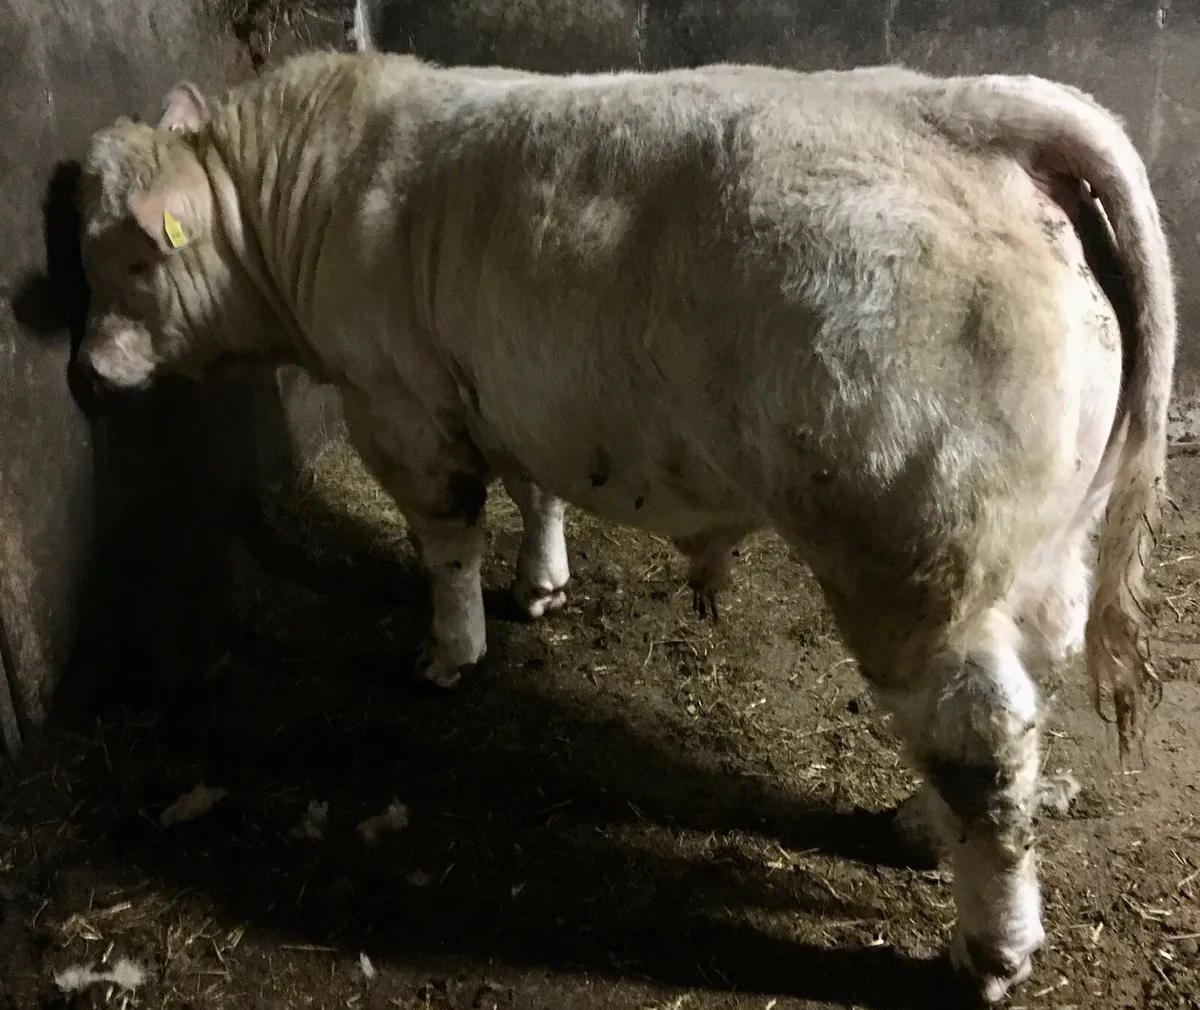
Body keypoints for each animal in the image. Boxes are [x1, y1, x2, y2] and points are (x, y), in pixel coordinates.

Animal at [74, 51, 1176, 1003]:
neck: (311, 185)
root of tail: (969, 105)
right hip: (1038, 547)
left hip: (914, 554)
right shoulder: (517, 393)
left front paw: (450, 649)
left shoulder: (398, 408)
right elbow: (535, 493)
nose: (86, 368)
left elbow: (445, 540)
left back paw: (987, 946)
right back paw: (923, 822)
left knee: (978, 733)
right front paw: (540, 584)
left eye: (129, 257)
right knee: (1024, 691)